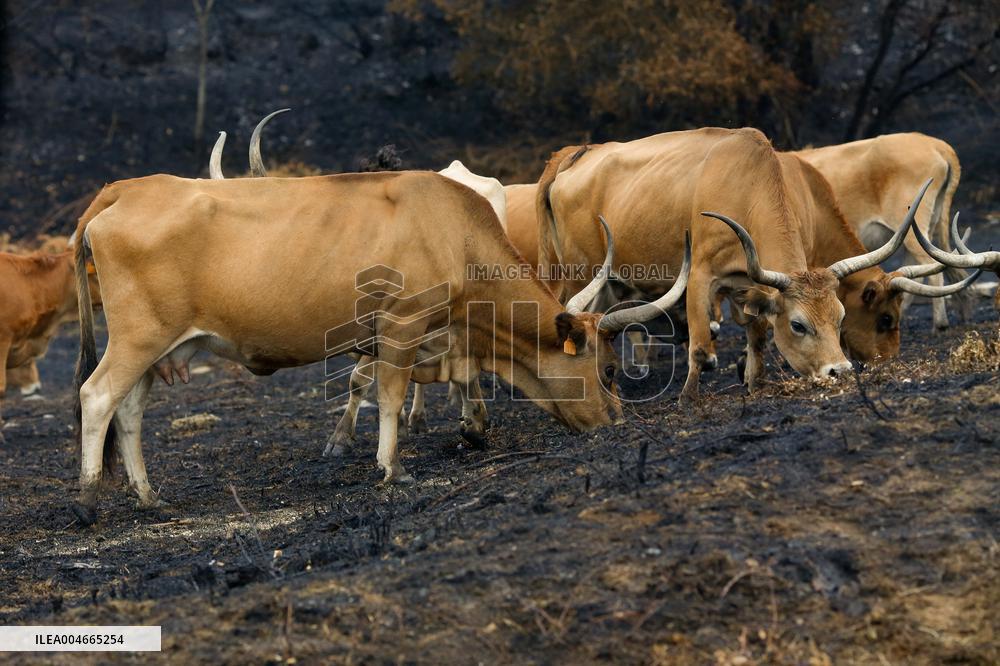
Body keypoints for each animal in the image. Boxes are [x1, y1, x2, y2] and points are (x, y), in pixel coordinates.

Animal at [70, 169, 694, 525]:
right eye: (607, 370)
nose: (615, 422)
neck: (452, 231)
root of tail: (127, 189)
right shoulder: (402, 324)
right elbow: (389, 396)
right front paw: (393, 469)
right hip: (138, 337)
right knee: (97, 396)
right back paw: (89, 500)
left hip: (160, 348)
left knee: (129, 410)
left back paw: (149, 496)